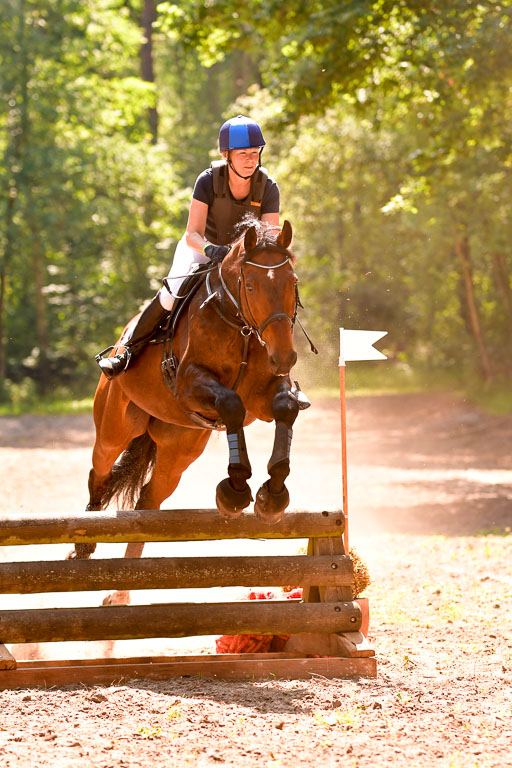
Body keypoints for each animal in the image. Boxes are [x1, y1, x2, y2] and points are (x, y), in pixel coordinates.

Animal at [70, 219, 306, 596]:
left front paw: (272, 496)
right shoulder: (189, 385)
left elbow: (284, 408)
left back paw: (122, 590)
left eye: (292, 282)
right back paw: (84, 542)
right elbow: (230, 403)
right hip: (114, 427)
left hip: (178, 449)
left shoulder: (263, 398)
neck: (239, 324)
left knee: (148, 502)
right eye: (250, 285)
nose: (284, 357)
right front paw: (235, 492)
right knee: (101, 473)